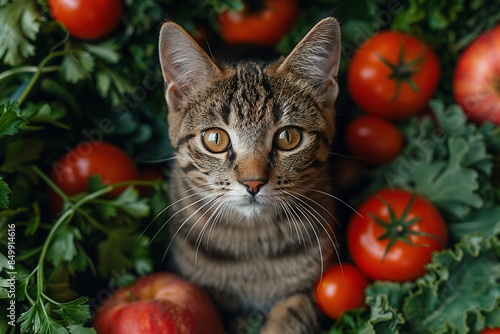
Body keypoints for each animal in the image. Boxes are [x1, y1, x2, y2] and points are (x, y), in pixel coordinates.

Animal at [158, 17, 342, 332]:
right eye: (215, 139)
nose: (253, 183)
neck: (252, 243)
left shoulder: (316, 287)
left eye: (288, 137)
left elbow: (295, 311)